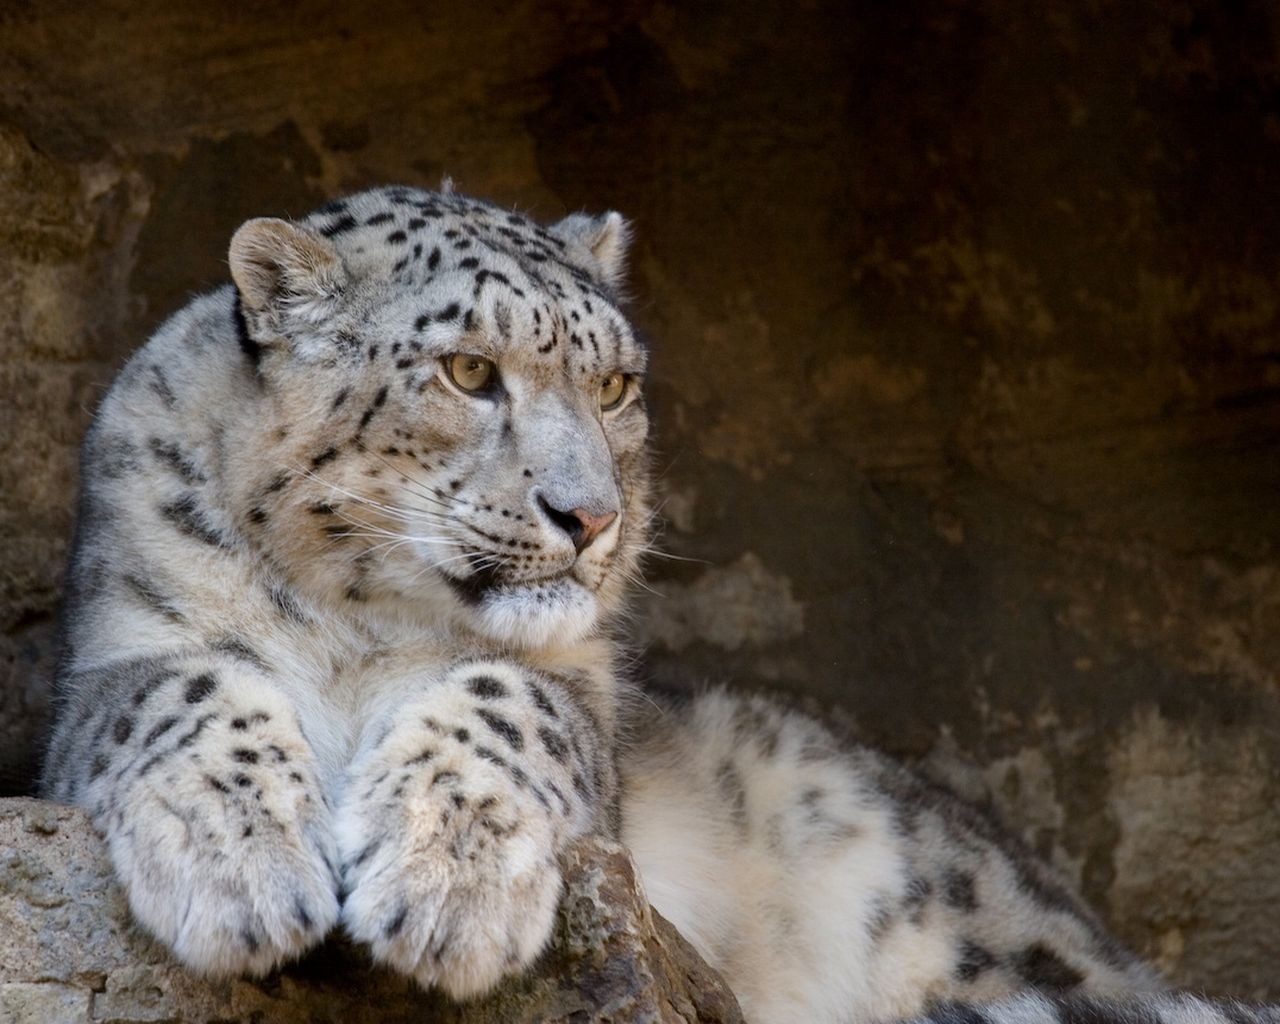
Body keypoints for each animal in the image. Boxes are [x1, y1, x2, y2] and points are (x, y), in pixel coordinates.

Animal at [40, 185, 1280, 1024]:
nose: (588, 515)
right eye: (467, 371)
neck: (360, 626)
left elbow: (502, 698)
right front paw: (236, 867)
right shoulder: (107, 666)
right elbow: (184, 689)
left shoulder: (574, 696)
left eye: (614, 385)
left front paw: (447, 896)